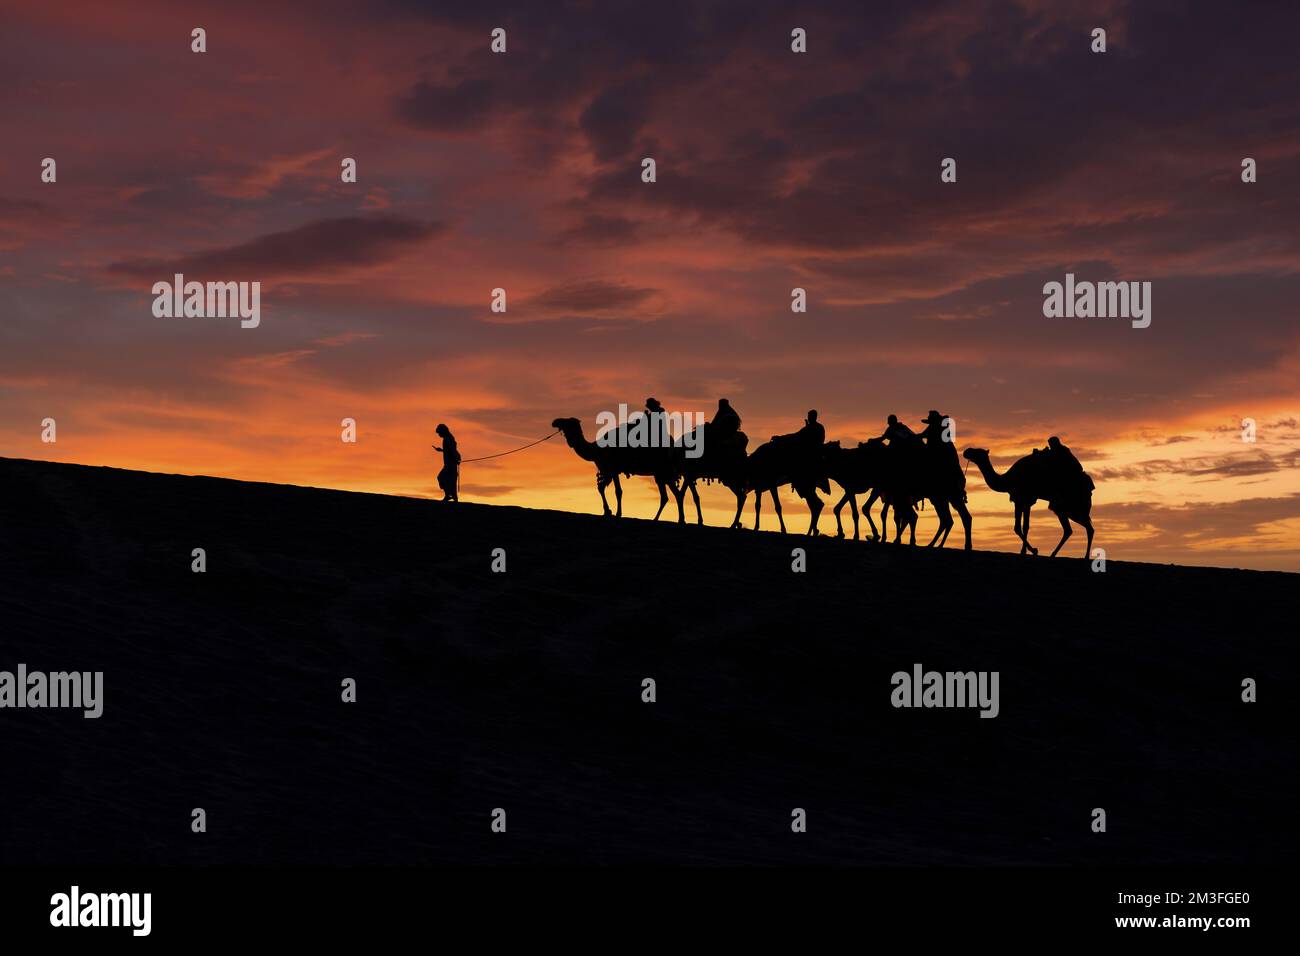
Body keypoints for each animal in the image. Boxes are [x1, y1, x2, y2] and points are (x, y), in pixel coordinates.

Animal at [553, 416, 686, 520]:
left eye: (568, 423)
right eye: (563, 423)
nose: (555, 422)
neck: (596, 450)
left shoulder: (612, 469)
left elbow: (618, 491)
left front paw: (617, 513)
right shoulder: (608, 470)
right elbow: (601, 488)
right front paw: (607, 512)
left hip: (663, 471)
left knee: (672, 495)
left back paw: (668, 519)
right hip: (660, 473)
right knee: (671, 495)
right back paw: (673, 519)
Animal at [961, 447, 1092, 556]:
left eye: (977, 451)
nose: (966, 451)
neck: (1008, 480)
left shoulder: (1021, 500)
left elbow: (1018, 527)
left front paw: (1033, 550)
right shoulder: (1026, 501)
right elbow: (1025, 526)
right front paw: (1025, 551)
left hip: (1069, 506)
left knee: (1083, 527)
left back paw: (1083, 556)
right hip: (1066, 507)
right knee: (1075, 529)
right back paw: (1057, 554)